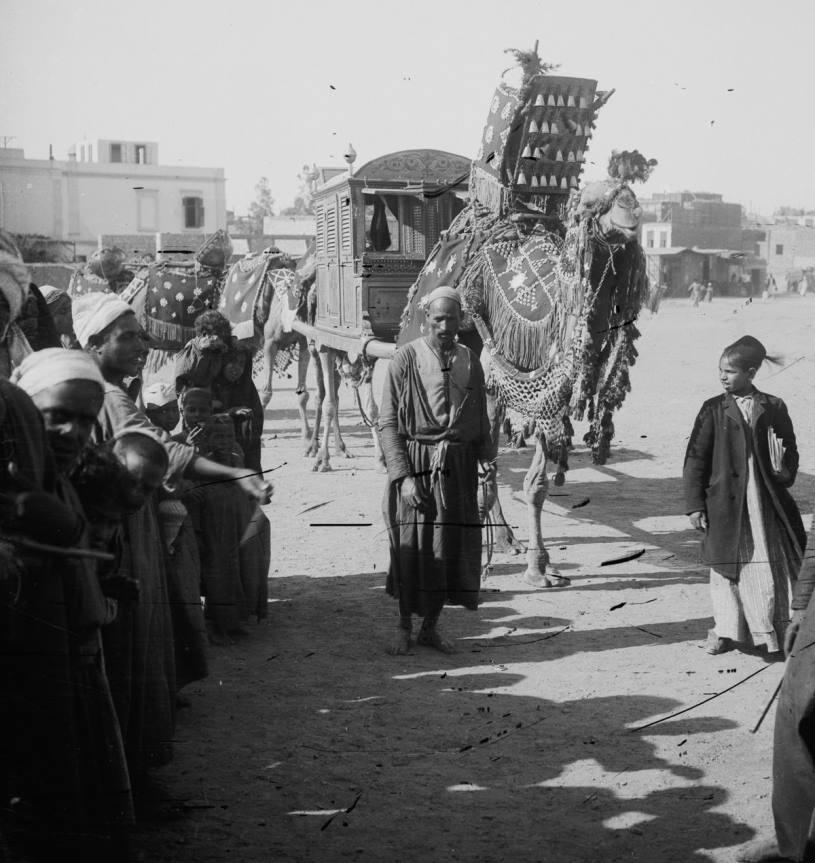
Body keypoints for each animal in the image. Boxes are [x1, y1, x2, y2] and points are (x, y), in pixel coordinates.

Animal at [398, 49, 660, 588]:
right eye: (595, 199)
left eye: (628, 191)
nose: (631, 214)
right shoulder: (533, 384)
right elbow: (515, 472)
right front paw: (530, 563)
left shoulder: (547, 397)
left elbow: (537, 482)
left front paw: (537, 561)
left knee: (489, 456)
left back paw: (503, 539)